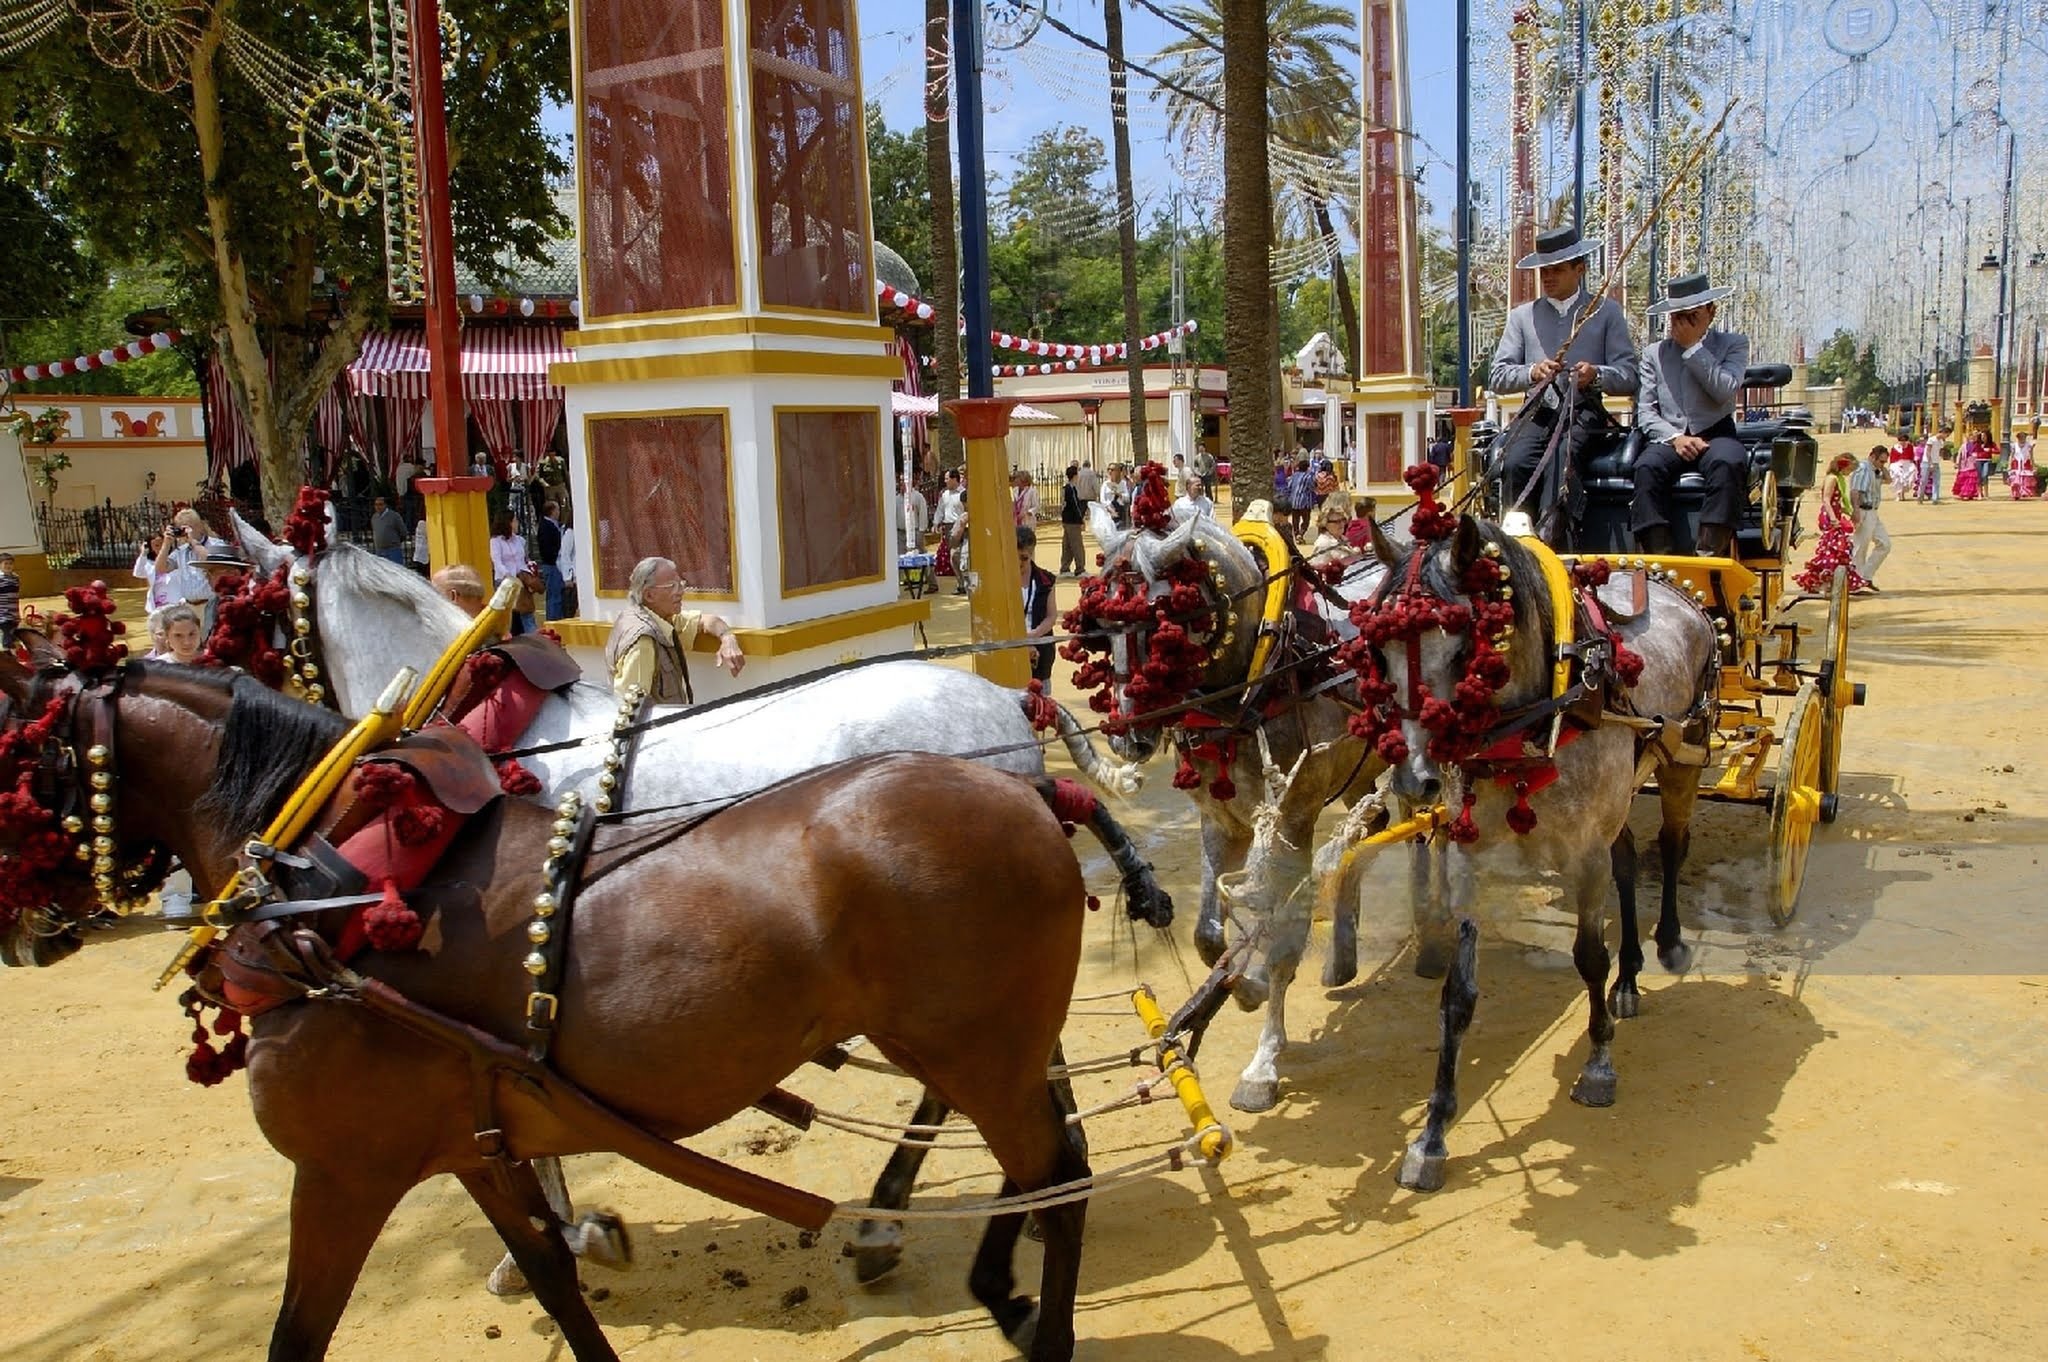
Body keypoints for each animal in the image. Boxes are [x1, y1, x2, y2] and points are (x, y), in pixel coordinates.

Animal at [0, 642, 1109, 1361]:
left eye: (17, 758)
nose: (23, 932)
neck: (327, 890)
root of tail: (1026, 788)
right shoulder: (471, 1143)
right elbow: (547, 1270)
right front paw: (578, 1247)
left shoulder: (343, 1171)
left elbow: (298, 1333)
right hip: (970, 1041)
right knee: (1043, 1159)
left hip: (973, 1042)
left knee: (1058, 1174)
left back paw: (1007, 1303)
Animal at [1234, 509, 1714, 1190]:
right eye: (1376, 651)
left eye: (1467, 648)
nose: (1414, 779)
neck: (1537, 718)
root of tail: (1670, 585)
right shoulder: (1471, 855)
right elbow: (1457, 996)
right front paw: (1431, 1136)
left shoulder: (1584, 852)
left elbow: (1587, 957)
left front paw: (1598, 1066)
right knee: (1627, 861)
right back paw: (1630, 982)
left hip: (1683, 757)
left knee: (1669, 846)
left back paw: (1667, 945)